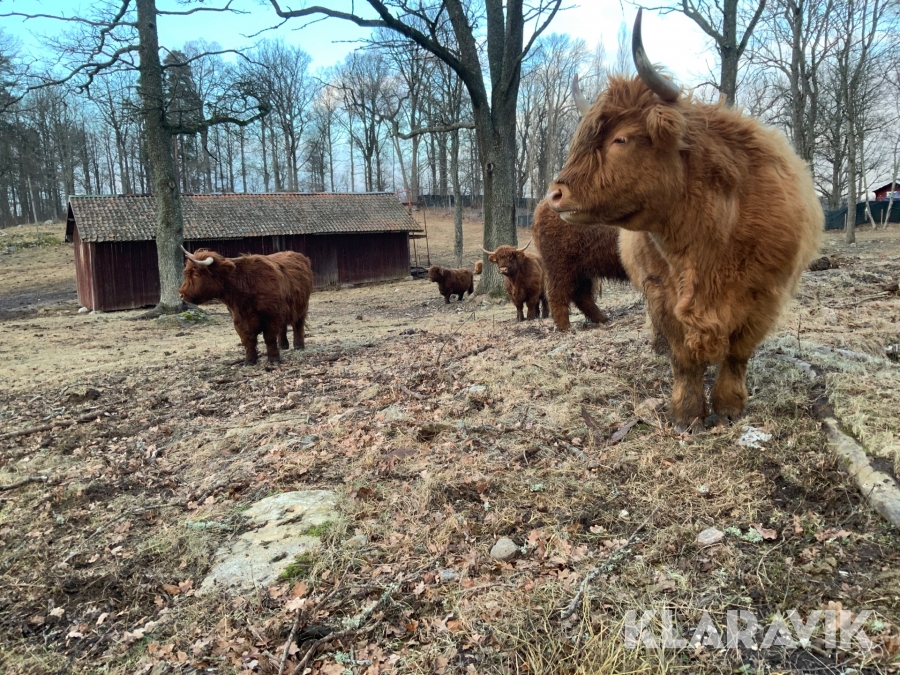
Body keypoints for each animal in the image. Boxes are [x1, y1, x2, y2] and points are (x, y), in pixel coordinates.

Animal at [179, 247, 314, 365]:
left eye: (196, 274)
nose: (181, 294)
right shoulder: (239, 319)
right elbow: (248, 340)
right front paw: (249, 361)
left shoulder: (271, 316)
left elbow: (269, 338)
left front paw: (274, 358)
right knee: (283, 327)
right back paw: (283, 345)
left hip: (301, 306)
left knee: (298, 325)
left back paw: (298, 345)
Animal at [532, 199, 629, 331]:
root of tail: (542, 205)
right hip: (561, 266)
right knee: (558, 294)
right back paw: (565, 326)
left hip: (582, 268)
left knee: (581, 295)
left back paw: (601, 318)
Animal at [547, 10, 822, 432]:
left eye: (621, 139)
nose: (555, 193)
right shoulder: (662, 292)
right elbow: (684, 358)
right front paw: (687, 414)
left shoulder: (763, 297)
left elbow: (737, 354)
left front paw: (729, 407)